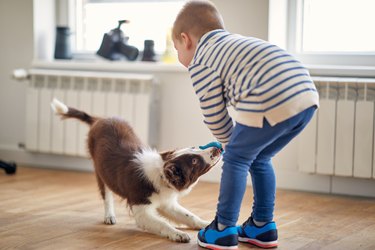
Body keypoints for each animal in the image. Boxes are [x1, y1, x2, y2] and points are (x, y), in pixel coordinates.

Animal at [49, 98, 220, 242]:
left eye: (194, 148)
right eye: (194, 161)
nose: (218, 148)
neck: (161, 173)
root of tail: (99, 119)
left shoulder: (166, 202)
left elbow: (188, 215)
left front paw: (205, 223)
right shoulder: (141, 208)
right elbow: (162, 223)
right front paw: (178, 234)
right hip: (100, 171)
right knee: (106, 195)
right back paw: (109, 216)